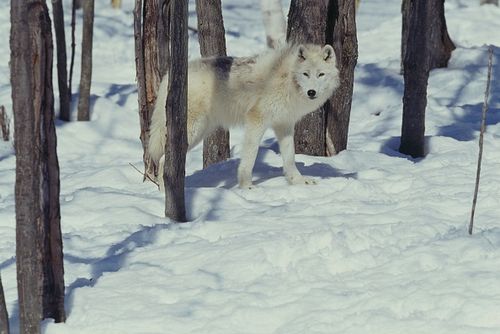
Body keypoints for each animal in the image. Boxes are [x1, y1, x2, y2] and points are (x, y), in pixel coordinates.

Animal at [146, 42, 338, 188]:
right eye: (305, 74)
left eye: (321, 74)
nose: (311, 92)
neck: (287, 79)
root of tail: (167, 77)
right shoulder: (256, 119)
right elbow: (251, 155)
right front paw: (247, 186)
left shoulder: (284, 125)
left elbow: (290, 158)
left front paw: (297, 181)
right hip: (193, 130)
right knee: (162, 160)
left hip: (201, 131)